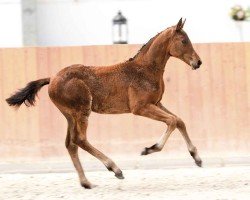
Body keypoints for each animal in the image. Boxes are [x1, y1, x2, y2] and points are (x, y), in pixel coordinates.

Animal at [6, 18, 203, 188]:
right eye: (184, 41)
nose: (198, 62)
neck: (145, 69)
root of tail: (52, 78)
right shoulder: (140, 107)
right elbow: (172, 121)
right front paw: (149, 149)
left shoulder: (156, 103)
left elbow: (179, 120)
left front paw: (197, 158)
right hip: (82, 111)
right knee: (80, 139)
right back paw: (115, 168)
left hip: (69, 115)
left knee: (70, 143)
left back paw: (86, 182)